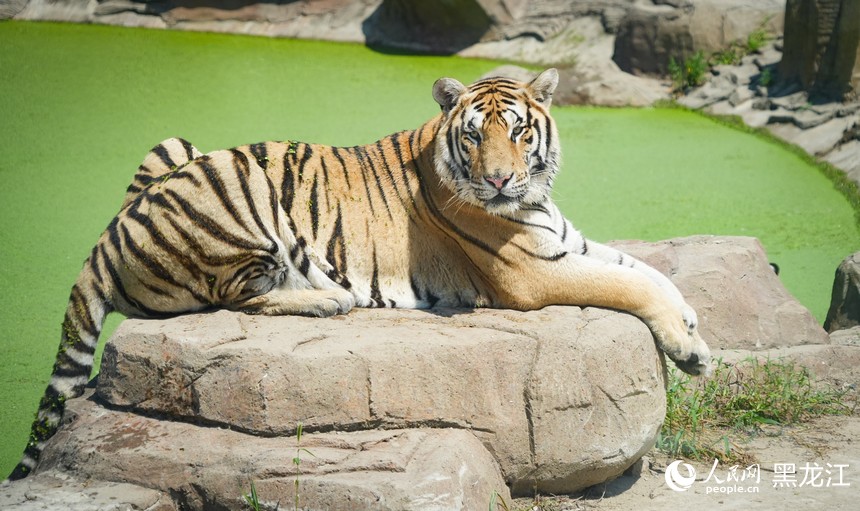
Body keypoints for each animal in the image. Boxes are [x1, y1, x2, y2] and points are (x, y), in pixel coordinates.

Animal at [6, 68, 711, 481]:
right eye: (475, 136)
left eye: (517, 132)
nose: (498, 180)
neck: (531, 202)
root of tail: (106, 235)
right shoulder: (531, 273)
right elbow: (632, 283)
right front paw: (690, 349)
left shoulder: (566, 242)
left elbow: (651, 273)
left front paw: (696, 333)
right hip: (238, 188)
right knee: (235, 296)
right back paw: (326, 300)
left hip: (175, 145)